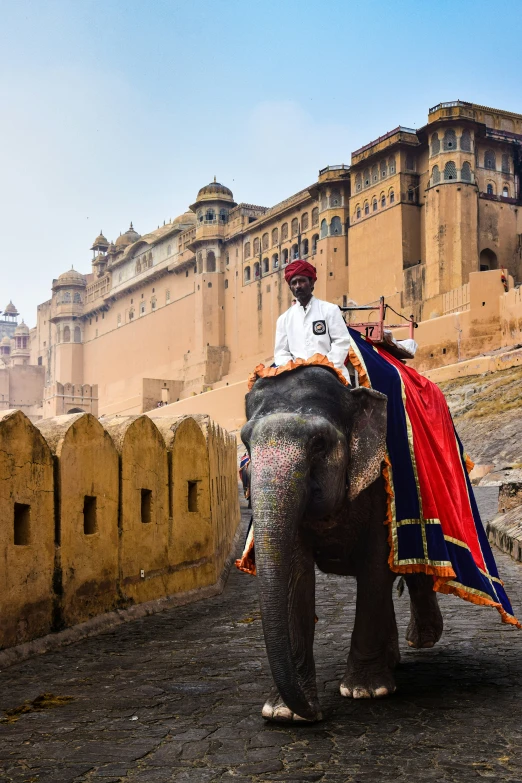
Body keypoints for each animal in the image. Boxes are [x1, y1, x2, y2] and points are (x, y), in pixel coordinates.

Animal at [239, 364, 438, 724]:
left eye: (319, 443)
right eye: (246, 442)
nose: (318, 715)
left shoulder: (380, 481)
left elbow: (377, 565)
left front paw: (365, 692)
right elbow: (296, 574)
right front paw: (283, 714)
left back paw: (423, 639)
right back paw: (393, 660)